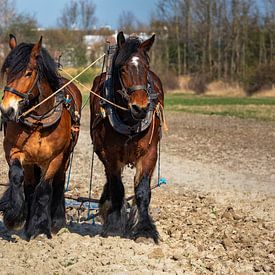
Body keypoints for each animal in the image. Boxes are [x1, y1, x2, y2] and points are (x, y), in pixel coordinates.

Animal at [0, 35, 82, 240]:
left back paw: (56, 221)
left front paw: (41, 228)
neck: (39, 121)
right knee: (30, 186)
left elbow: (44, 189)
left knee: (58, 182)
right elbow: (18, 178)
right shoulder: (15, 151)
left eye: (28, 73)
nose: (6, 110)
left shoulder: (55, 158)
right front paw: (16, 218)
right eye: (7, 71)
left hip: (65, 157)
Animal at [90, 32, 165, 244]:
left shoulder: (149, 153)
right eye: (122, 68)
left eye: (146, 67)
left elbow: (142, 191)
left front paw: (145, 230)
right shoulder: (109, 156)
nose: (140, 108)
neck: (130, 120)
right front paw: (114, 225)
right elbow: (117, 188)